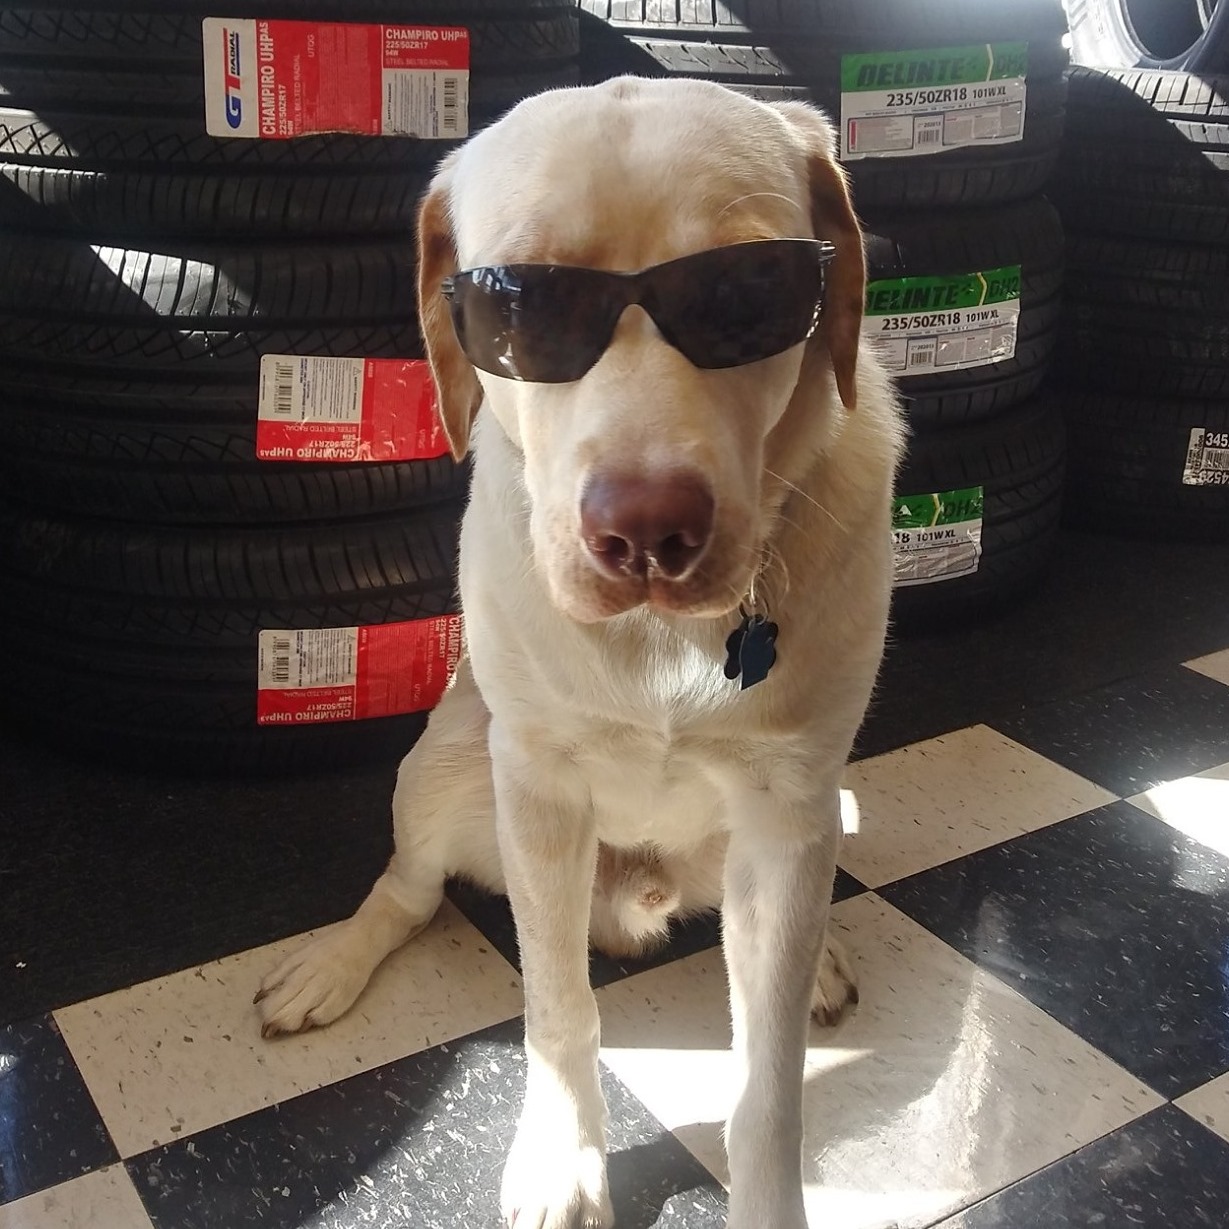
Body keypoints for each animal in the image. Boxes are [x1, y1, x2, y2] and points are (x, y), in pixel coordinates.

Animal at [256, 77, 903, 1229]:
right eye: (521, 311)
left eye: (747, 288)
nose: (647, 529)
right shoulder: (540, 789)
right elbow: (556, 1007)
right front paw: (563, 1153)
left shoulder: (789, 804)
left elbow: (768, 1079)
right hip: (443, 765)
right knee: (408, 888)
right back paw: (331, 961)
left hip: (813, 815)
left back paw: (821, 950)